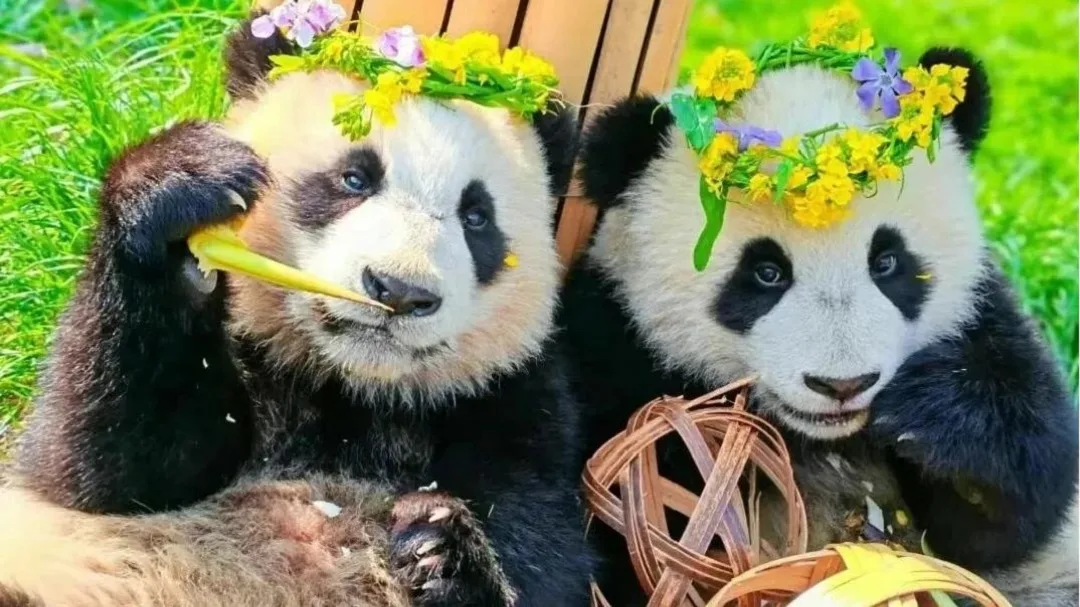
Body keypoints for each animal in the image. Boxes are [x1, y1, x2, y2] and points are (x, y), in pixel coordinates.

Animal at [0, 11, 593, 607]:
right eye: (354, 178)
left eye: (476, 218)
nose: (398, 289)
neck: (355, 392)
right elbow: (105, 468)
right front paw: (177, 186)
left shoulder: (512, 402)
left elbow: (554, 562)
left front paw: (439, 551)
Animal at [559, 47, 1079, 606]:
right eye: (766, 273)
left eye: (887, 261)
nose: (842, 385)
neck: (825, 438)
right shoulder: (615, 344)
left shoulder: (983, 315)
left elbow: (1012, 508)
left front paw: (930, 421)